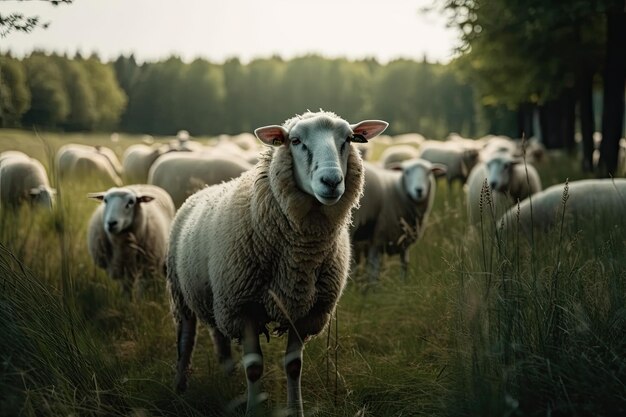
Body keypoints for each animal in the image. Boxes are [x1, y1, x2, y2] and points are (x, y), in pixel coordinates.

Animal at [167, 109, 386, 414]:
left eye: (348, 140)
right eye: (295, 141)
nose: (331, 181)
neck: (299, 260)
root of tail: (203, 190)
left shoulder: (304, 311)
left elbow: (294, 366)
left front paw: (296, 410)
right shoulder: (243, 309)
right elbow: (254, 368)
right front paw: (253, 410)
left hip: (215, 296)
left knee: (219, 335)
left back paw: (226, 376)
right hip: (182, 294)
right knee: (185, 340)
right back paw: (179, 388)